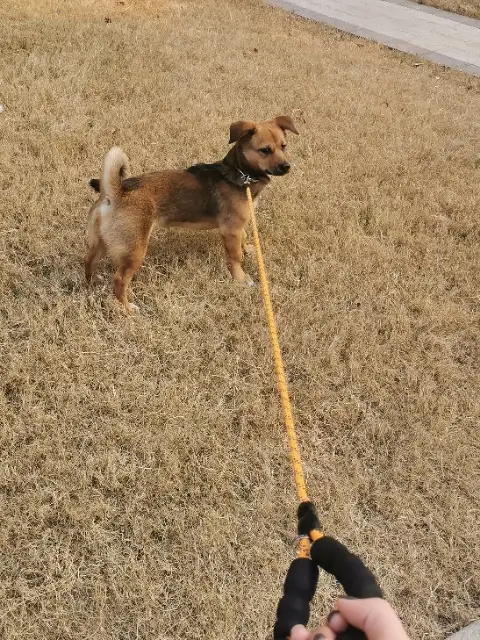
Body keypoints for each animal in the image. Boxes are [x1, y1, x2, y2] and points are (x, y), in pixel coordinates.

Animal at [84, 117, 298, 316]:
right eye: (265, 150)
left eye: (284, 146)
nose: (286, 166)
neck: (240, 174)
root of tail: (116, 192)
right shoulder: (231, 230)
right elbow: (235, 257)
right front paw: (241, 278)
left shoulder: (238, 225)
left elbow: (244, 238)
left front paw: (249, 249)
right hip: (135, 250)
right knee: (119, 280)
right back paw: (127, 309)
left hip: (102, 241)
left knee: (89, 260)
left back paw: (92, 282)